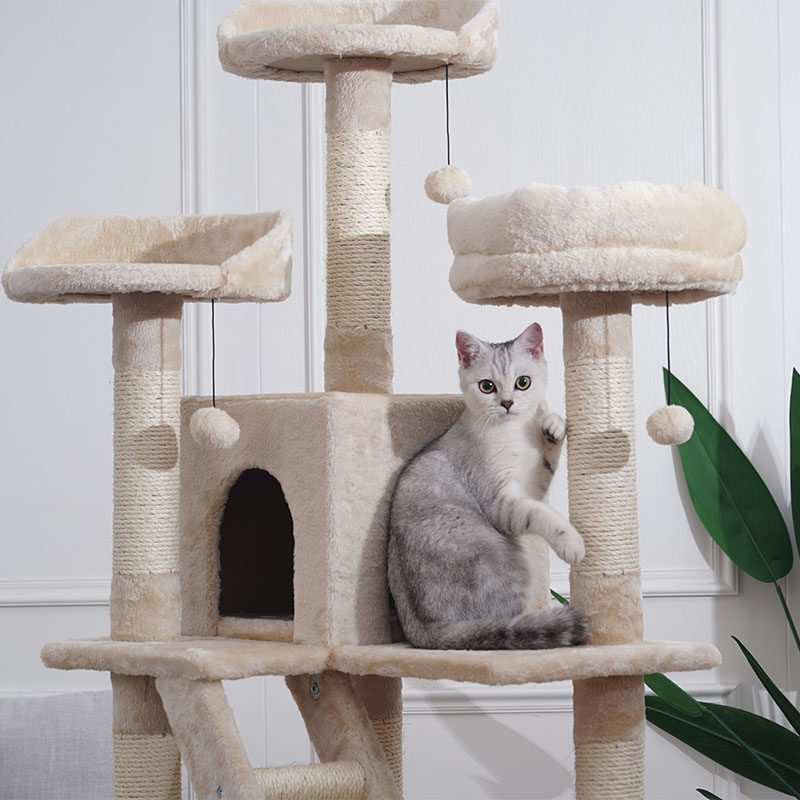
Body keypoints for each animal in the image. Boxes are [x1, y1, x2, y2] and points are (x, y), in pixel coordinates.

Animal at [387, 322, 587, 650]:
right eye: (486, 386)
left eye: (522, 383)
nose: (507, 403)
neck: (514, 432)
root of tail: (426, 632)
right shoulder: (502, 503)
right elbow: (543, 516)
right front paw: (571, 543)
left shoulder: (533, 486)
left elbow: (548, 454)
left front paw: (553, 425)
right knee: (506, 623)